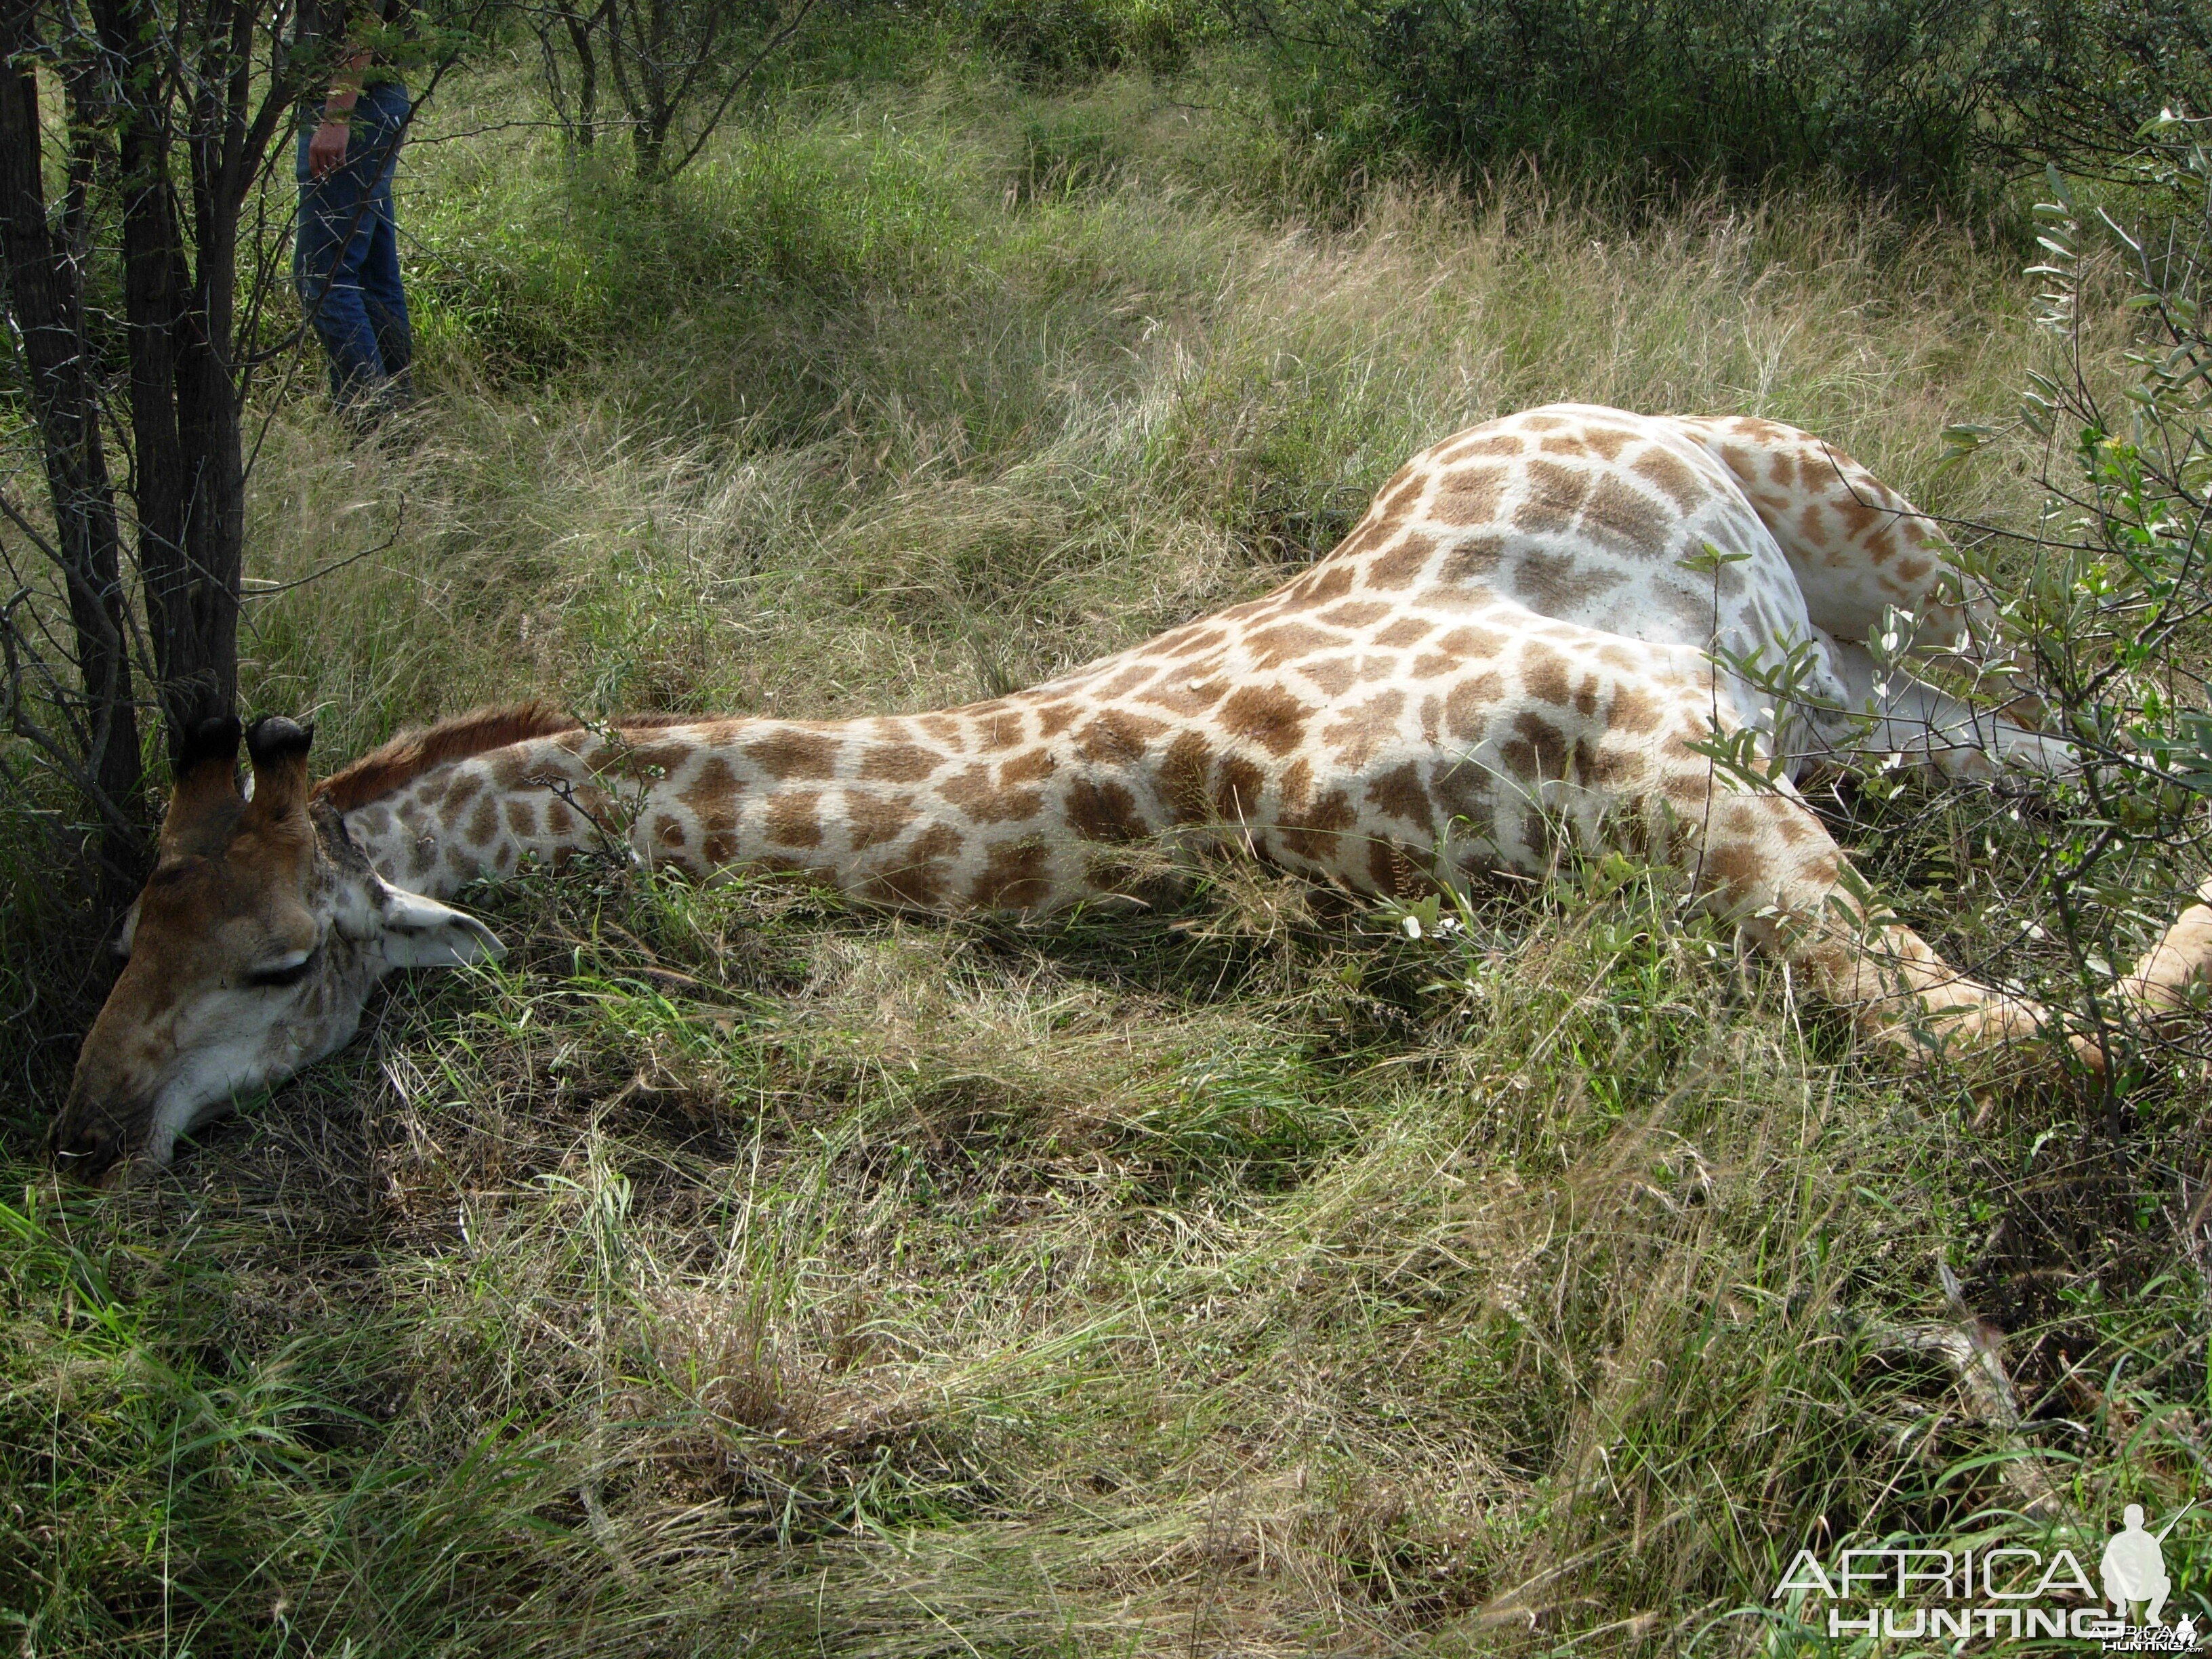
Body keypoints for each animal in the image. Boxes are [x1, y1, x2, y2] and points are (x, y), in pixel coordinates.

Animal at [52, 407, 2212, 1176]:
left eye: (274, 963)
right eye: (128, 923)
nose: (76, 1134)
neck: (1170, 784)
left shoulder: (1665, 746)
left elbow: (2012, 1045)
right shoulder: (1612, 828)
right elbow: (1995, 1028)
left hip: (1856, 537)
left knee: (2128, 696)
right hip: (1848, 696)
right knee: (2100, 749)